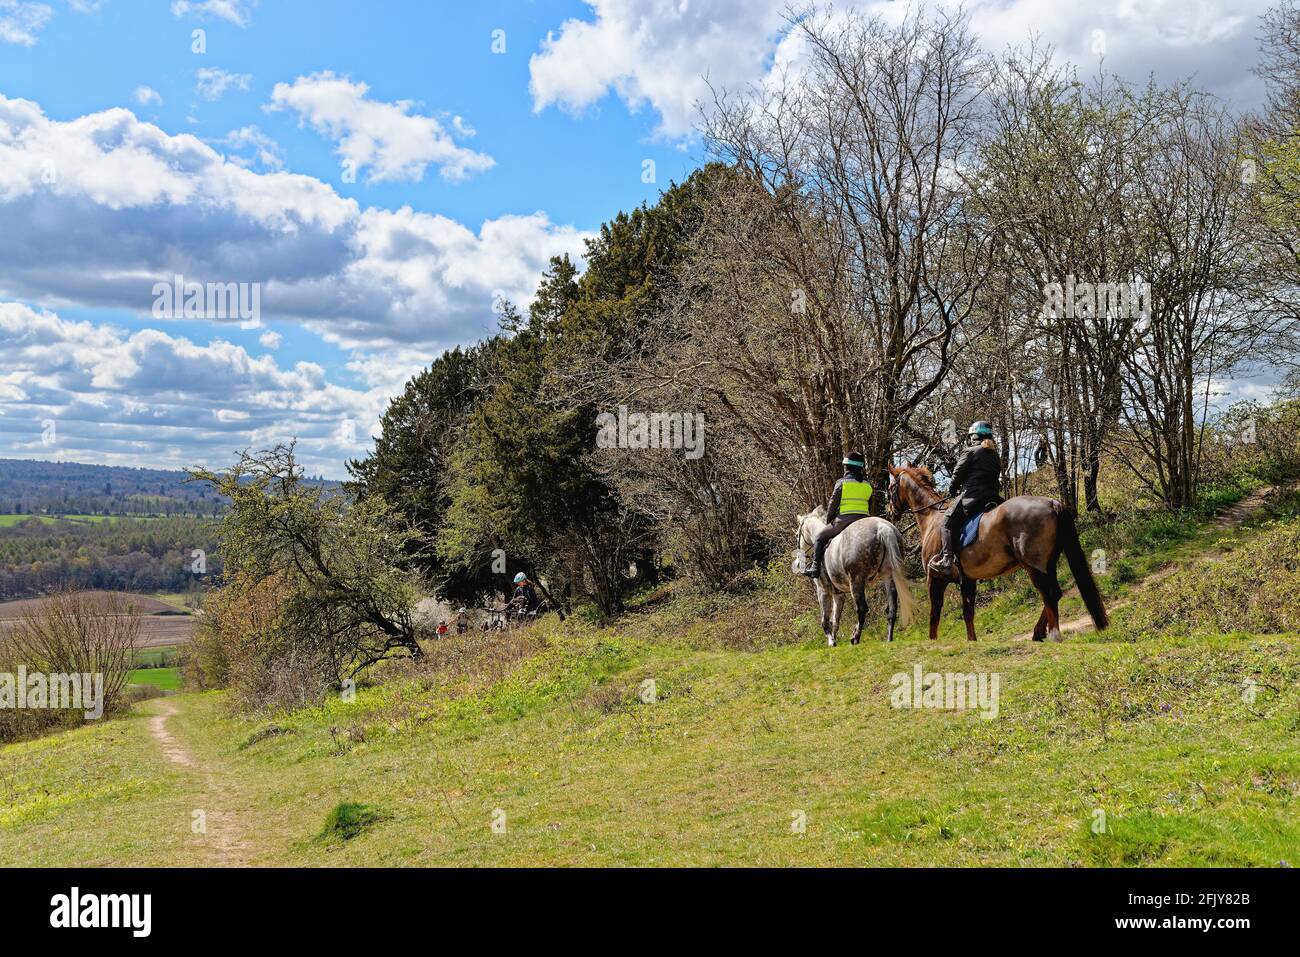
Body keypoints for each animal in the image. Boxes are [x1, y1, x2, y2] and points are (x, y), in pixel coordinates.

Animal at [790, 509, 915, 642]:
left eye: (797, 535)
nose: (798, 564)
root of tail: (883, 528)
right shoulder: (838, 594)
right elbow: (835, 620)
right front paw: (834, 640)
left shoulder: (823, 591)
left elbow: (825, 621)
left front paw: (831, 642)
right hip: (888, 576)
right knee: (892, 608)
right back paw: (888, 639)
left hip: (856, 580)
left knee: (862, 609)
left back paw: (855, 638)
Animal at [889, 465, 1112, 642]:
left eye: (891, 488)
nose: (891, 512)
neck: (932, 517)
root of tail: (1051, 502)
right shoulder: (967, 580)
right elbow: (968, 612)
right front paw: (972, 641)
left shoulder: (935, 579)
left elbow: (934, 614)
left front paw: (932, 642)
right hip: (1047, 564)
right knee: (1054, 593)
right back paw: (1038, 632)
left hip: (1034, 566)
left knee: (1049, 595)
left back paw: (1054, 635)